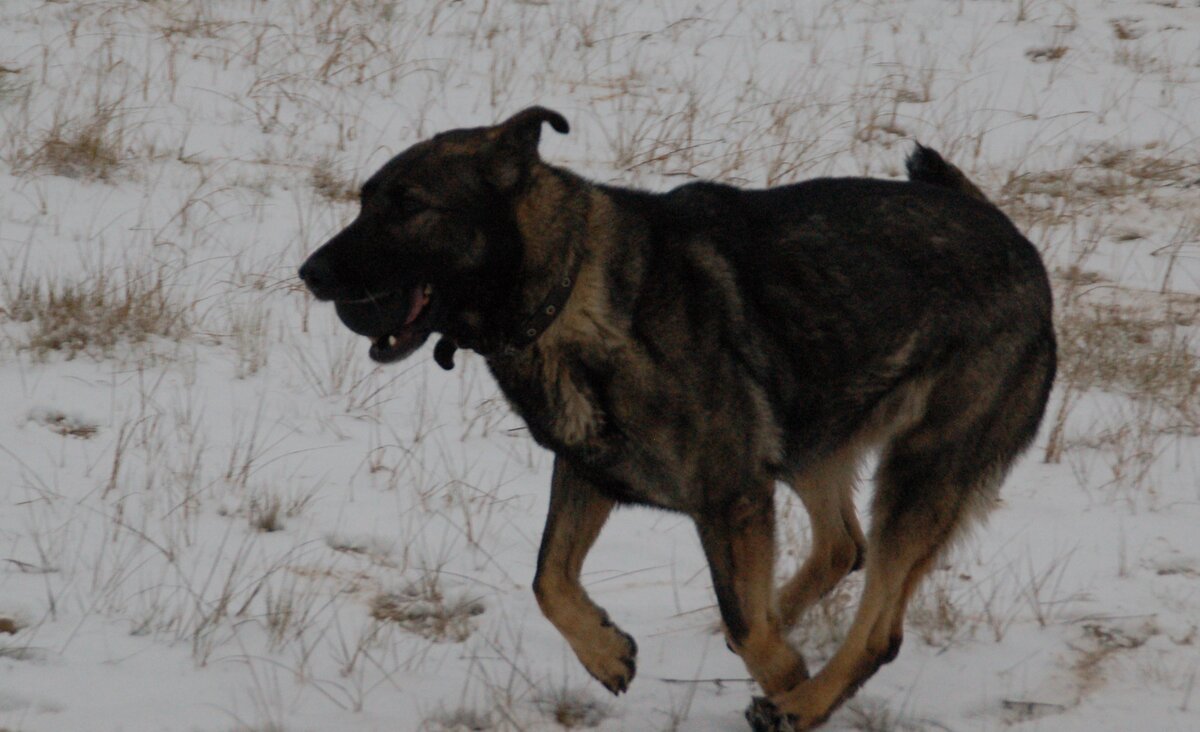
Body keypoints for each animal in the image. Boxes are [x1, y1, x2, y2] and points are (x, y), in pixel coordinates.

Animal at [297, 105, 1051, 724]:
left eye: (407, 207)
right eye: (365, 202)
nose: (308, 273)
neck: (568, 290)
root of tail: (1016, 238)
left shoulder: (730, 494)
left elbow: (745, 623)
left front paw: (782, 671)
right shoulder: (590, 472)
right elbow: (548, 579)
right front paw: (605, 652)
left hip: (922, 471)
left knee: (876, 628)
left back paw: (800, 704)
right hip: (806, 432)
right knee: (842, 545)